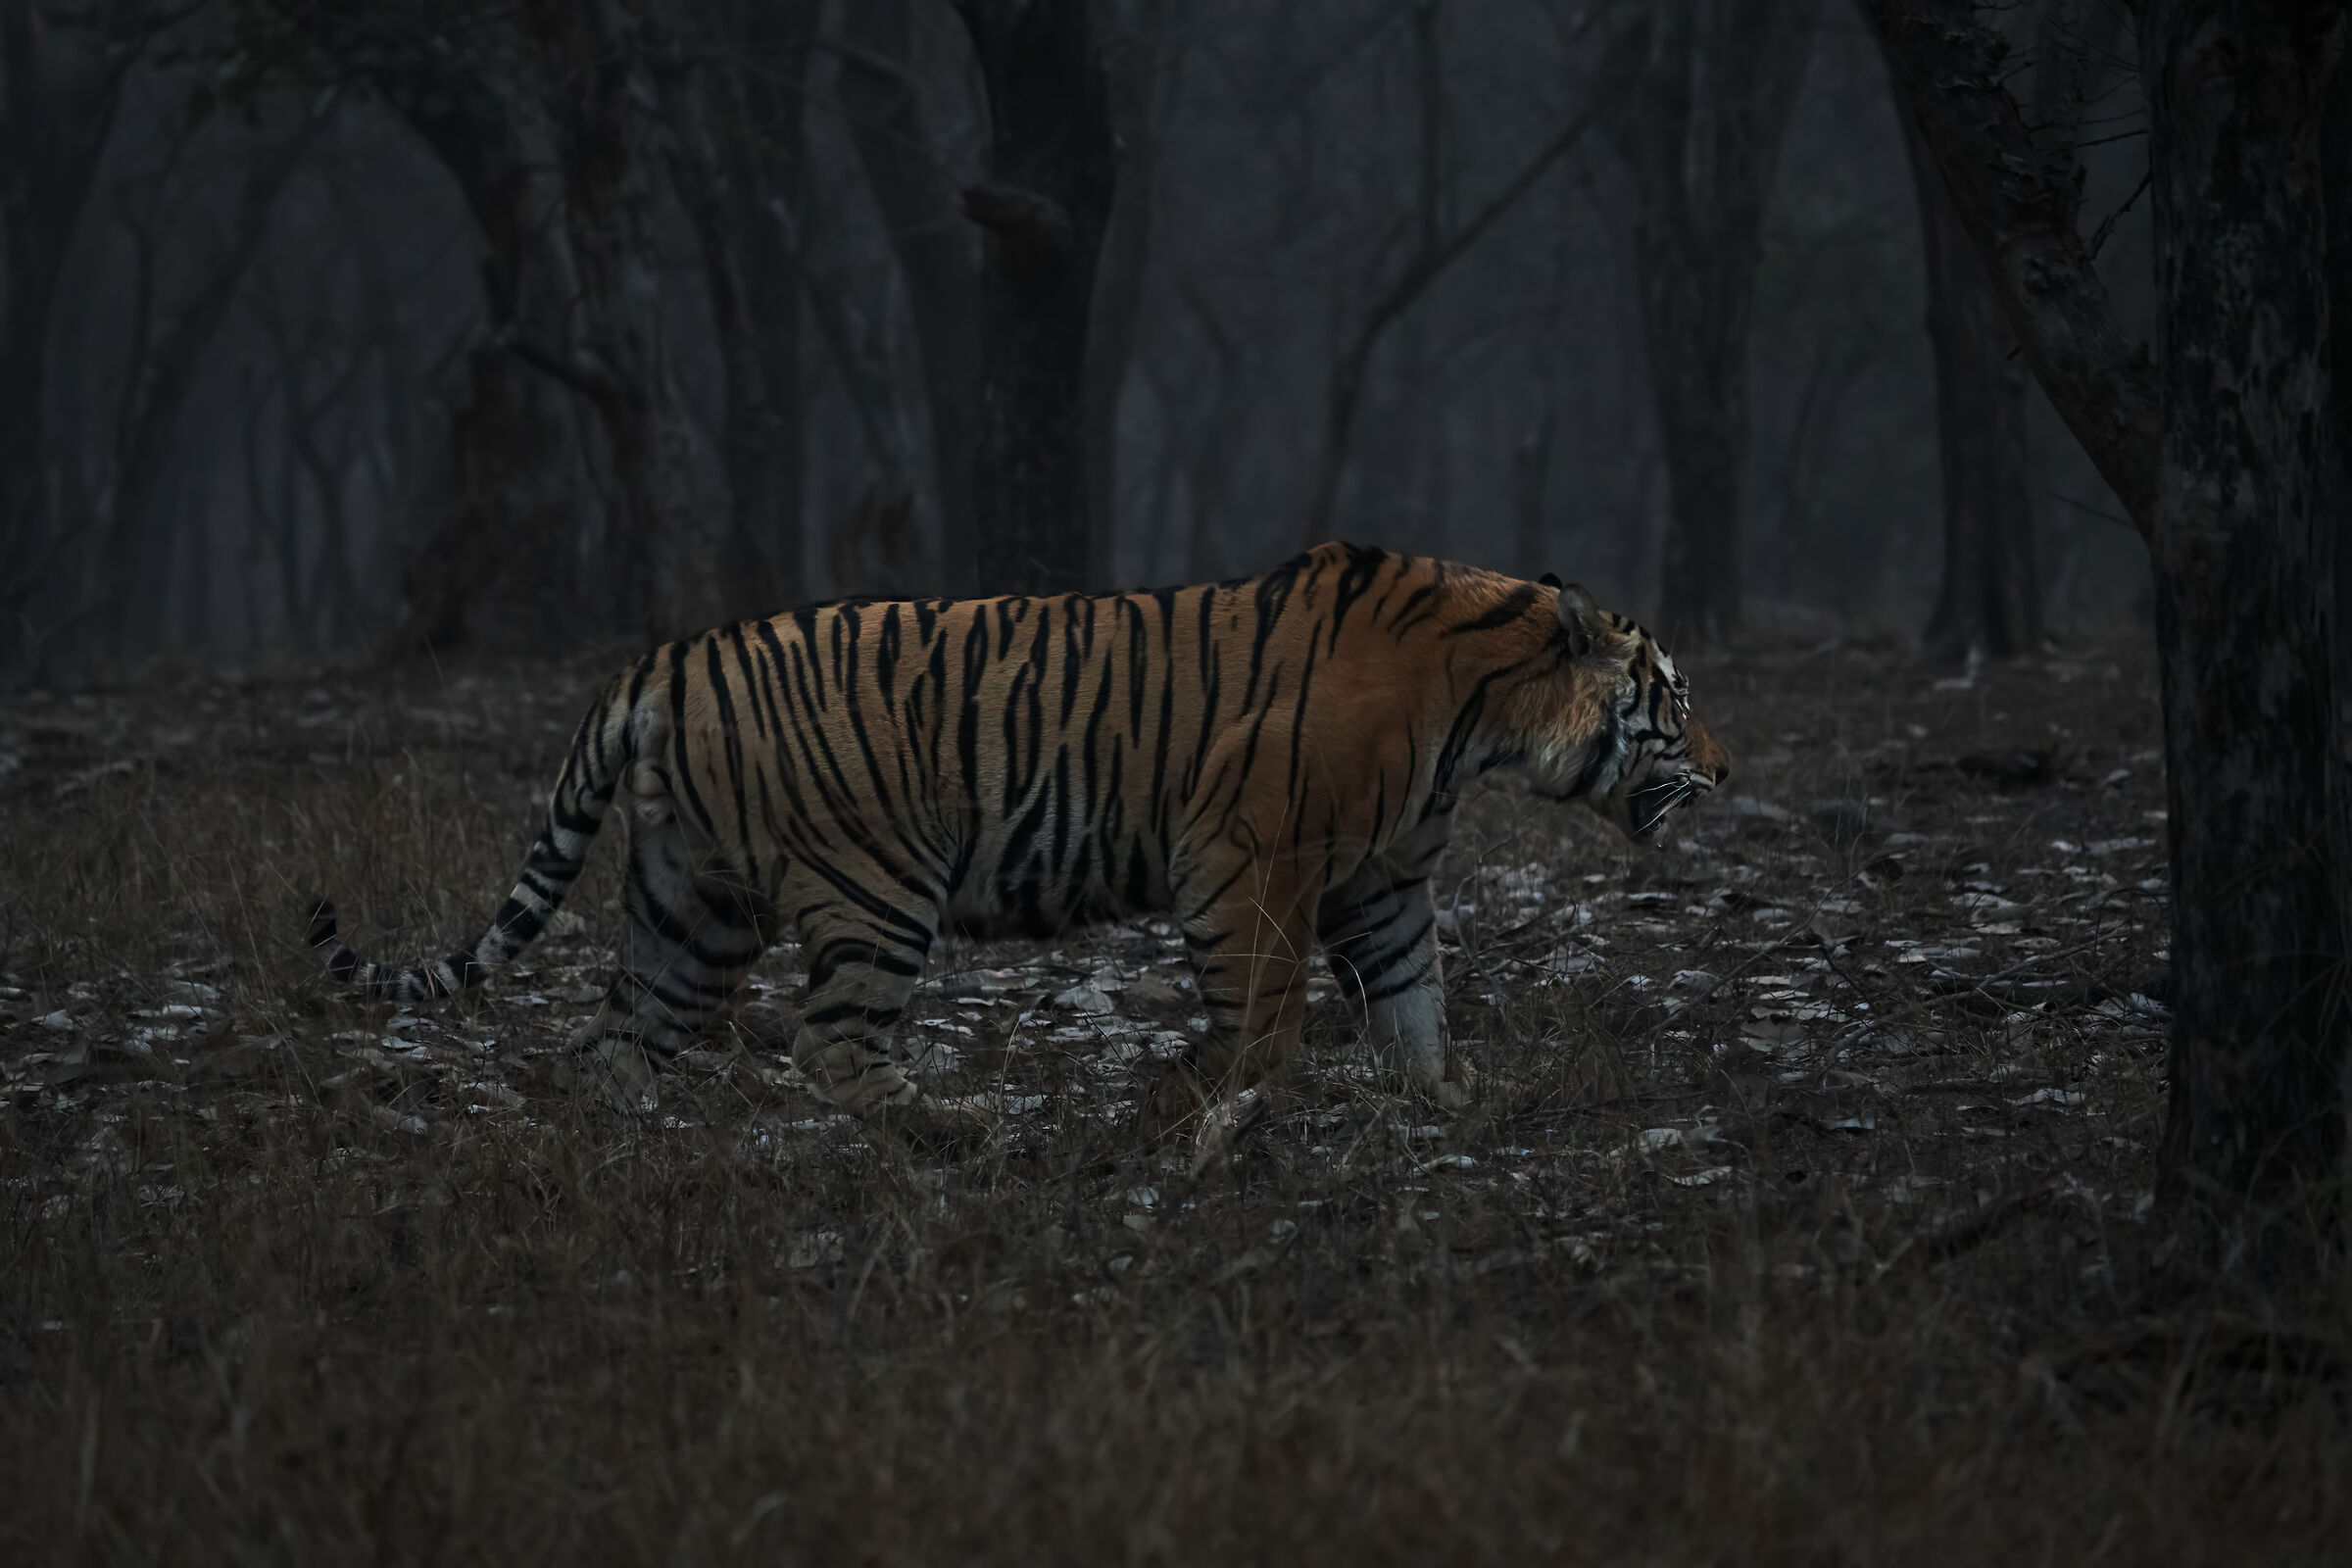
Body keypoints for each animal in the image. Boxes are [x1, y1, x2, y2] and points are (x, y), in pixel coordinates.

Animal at [308, 542, 1729, 1147]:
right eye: (1675, 696)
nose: (1726, 772)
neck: (1484, 718)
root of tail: (661, 660)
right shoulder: (1250, 851)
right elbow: (1265, 1014)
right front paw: (1188, 1110)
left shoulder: (1383, 880)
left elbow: (1417, 1005)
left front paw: (1449, 1100)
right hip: (877, 885)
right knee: (830, 1044)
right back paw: (963, 1125)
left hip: (688, 901)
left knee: (618, 1041)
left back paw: (627, 1147)